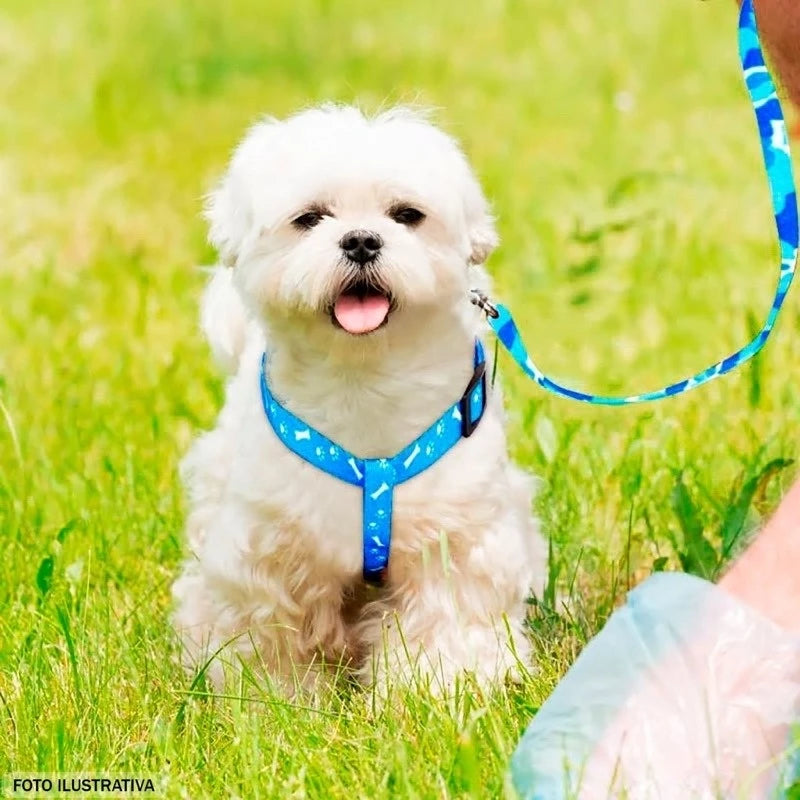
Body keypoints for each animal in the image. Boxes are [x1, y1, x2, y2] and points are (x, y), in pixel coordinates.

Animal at [173, 104, 552, 692]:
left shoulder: (455, 537)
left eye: (406, 215)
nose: (360, 240)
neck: (364, 381)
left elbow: (445, 620)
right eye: (310, 218)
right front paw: (274, 697)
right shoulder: (269, 549)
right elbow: (271, 634)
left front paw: (439, 689)